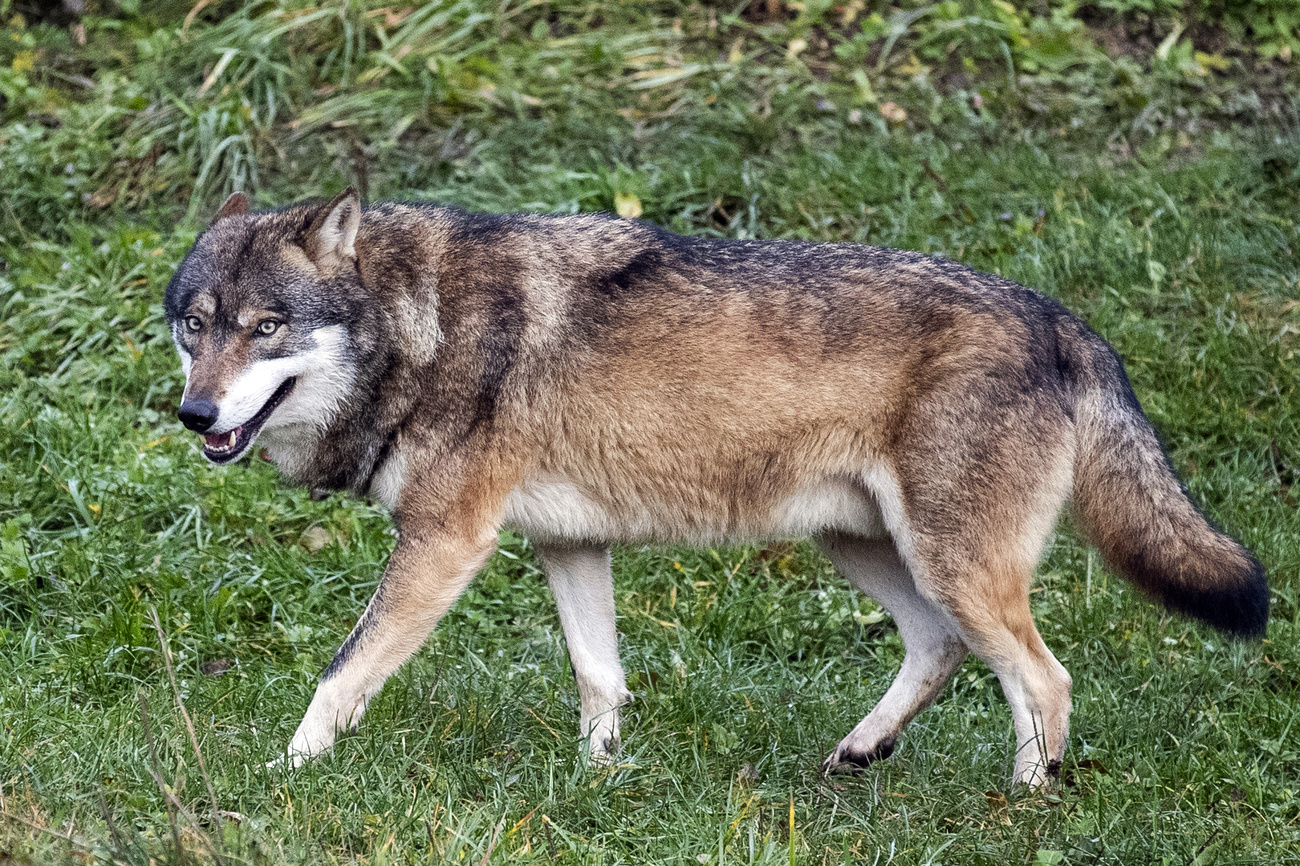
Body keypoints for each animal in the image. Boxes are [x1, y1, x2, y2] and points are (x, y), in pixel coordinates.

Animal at [165, 191, 1268, 790]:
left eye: (266, 327)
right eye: (195, 324)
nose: (194, 412)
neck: (416, 326)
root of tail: (1060, 316)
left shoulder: (445, 541)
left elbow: (340, 671)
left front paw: (284, 775)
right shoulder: (567, 544)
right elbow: (599, 676)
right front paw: (600, 781)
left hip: (950, 565)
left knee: (1045, 678)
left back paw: (1024, 801)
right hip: (871, 552)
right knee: (941, 648)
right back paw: (856, 753)